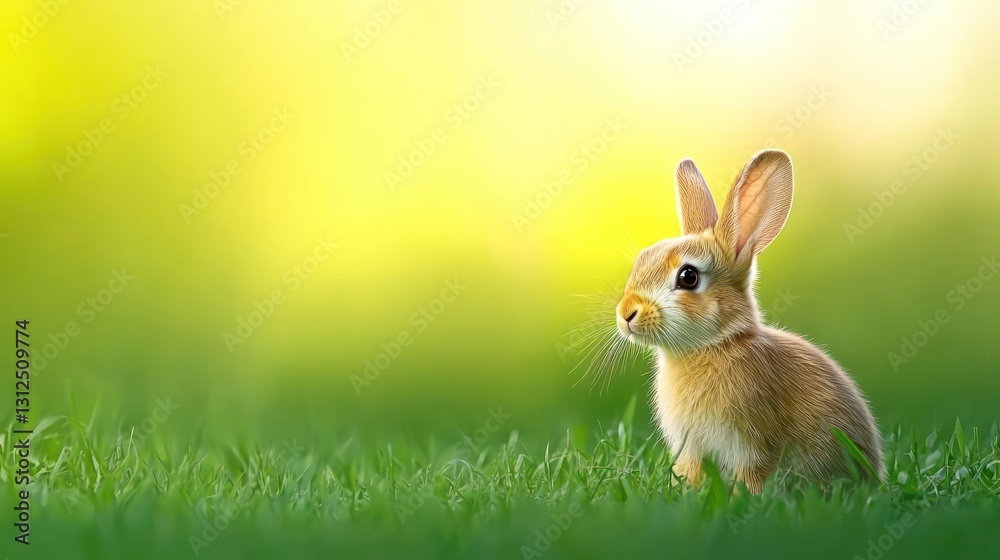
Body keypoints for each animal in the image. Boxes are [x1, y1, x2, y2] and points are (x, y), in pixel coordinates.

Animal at [615, 149, 884, 493]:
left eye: (688, 276)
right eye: (642, 259)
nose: (626, 313)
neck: (714, 345)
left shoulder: (751, 445)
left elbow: (752, 475)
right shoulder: (692, 448)